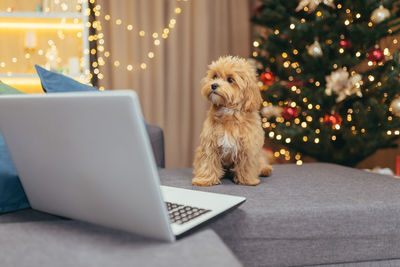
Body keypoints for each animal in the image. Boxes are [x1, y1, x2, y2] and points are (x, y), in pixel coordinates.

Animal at [193, 56, 272, 186]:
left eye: (230, 79)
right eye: (215, 76)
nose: (213, 85)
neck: (229, 113)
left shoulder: (248, 147)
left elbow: (247, 164)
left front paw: (247, 180)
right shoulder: (210, 144)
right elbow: (208, 162)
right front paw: (205, 179)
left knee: (261, 163)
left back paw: (265, 169)